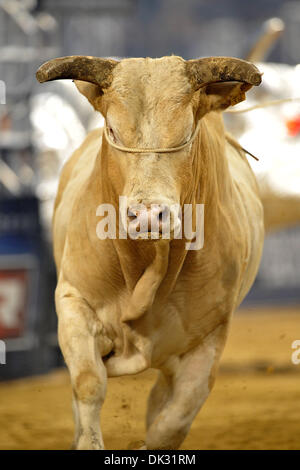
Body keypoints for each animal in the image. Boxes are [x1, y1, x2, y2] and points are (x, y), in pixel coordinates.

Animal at [36, 54, 264, 448]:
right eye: (112, 130)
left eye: (186, 131)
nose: (147, 214)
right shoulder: (74, 301)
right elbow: (88, 384)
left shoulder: (209, 337)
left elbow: (175, 419)